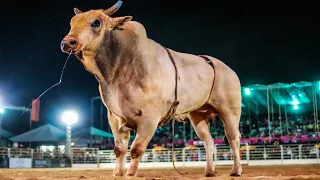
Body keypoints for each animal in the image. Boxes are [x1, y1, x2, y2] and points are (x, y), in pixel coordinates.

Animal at [60, 0, 242, 177]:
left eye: (96, 22)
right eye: (72, 22)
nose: (67, 42)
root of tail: (227, 69)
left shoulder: (150, 116)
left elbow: (136, 148)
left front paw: (130, 173)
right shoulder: (114, 116)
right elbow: (119, 149)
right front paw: (118, 173)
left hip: (230, 111)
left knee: (233, 138)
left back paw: (236, 170)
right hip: (197, 114)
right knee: (208, 140)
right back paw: (210, 171)